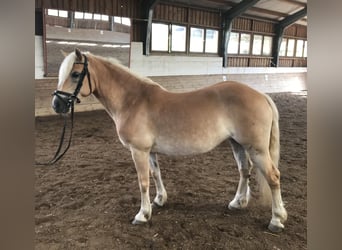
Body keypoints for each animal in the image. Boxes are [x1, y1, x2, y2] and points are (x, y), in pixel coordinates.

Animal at [52, 48, 288, 232]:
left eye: (75, 74)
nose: (57, 104)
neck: (132, 100)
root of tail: (261, 95)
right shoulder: (150, 151)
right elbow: (155, 174)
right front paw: (159, 200)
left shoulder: (138, 151)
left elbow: (143, 182)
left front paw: (142, 215)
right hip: (237, 144)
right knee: (244, 170)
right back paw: (238, 203)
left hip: (256, 149)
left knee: (273, 177)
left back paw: (276, 220)